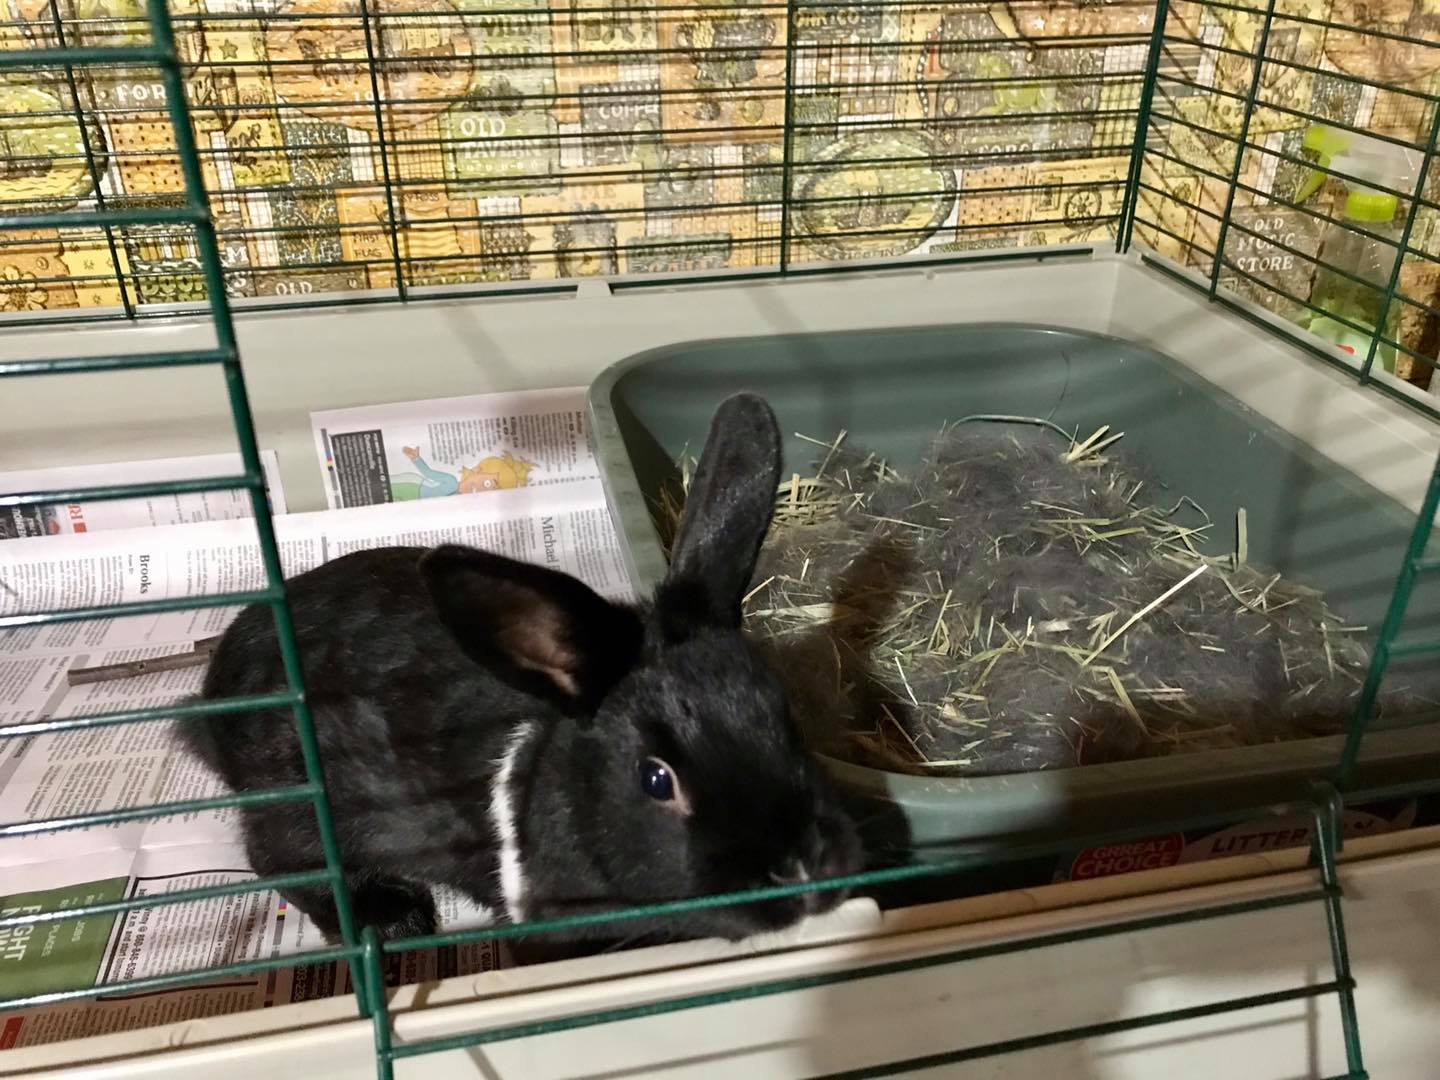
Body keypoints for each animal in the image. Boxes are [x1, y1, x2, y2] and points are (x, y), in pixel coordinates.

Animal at [185, 392, 863, 954]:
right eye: (656, 780)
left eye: (785, 719)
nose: (804, 873)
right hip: (298, 803)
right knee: (281, 859)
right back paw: (394, 919)